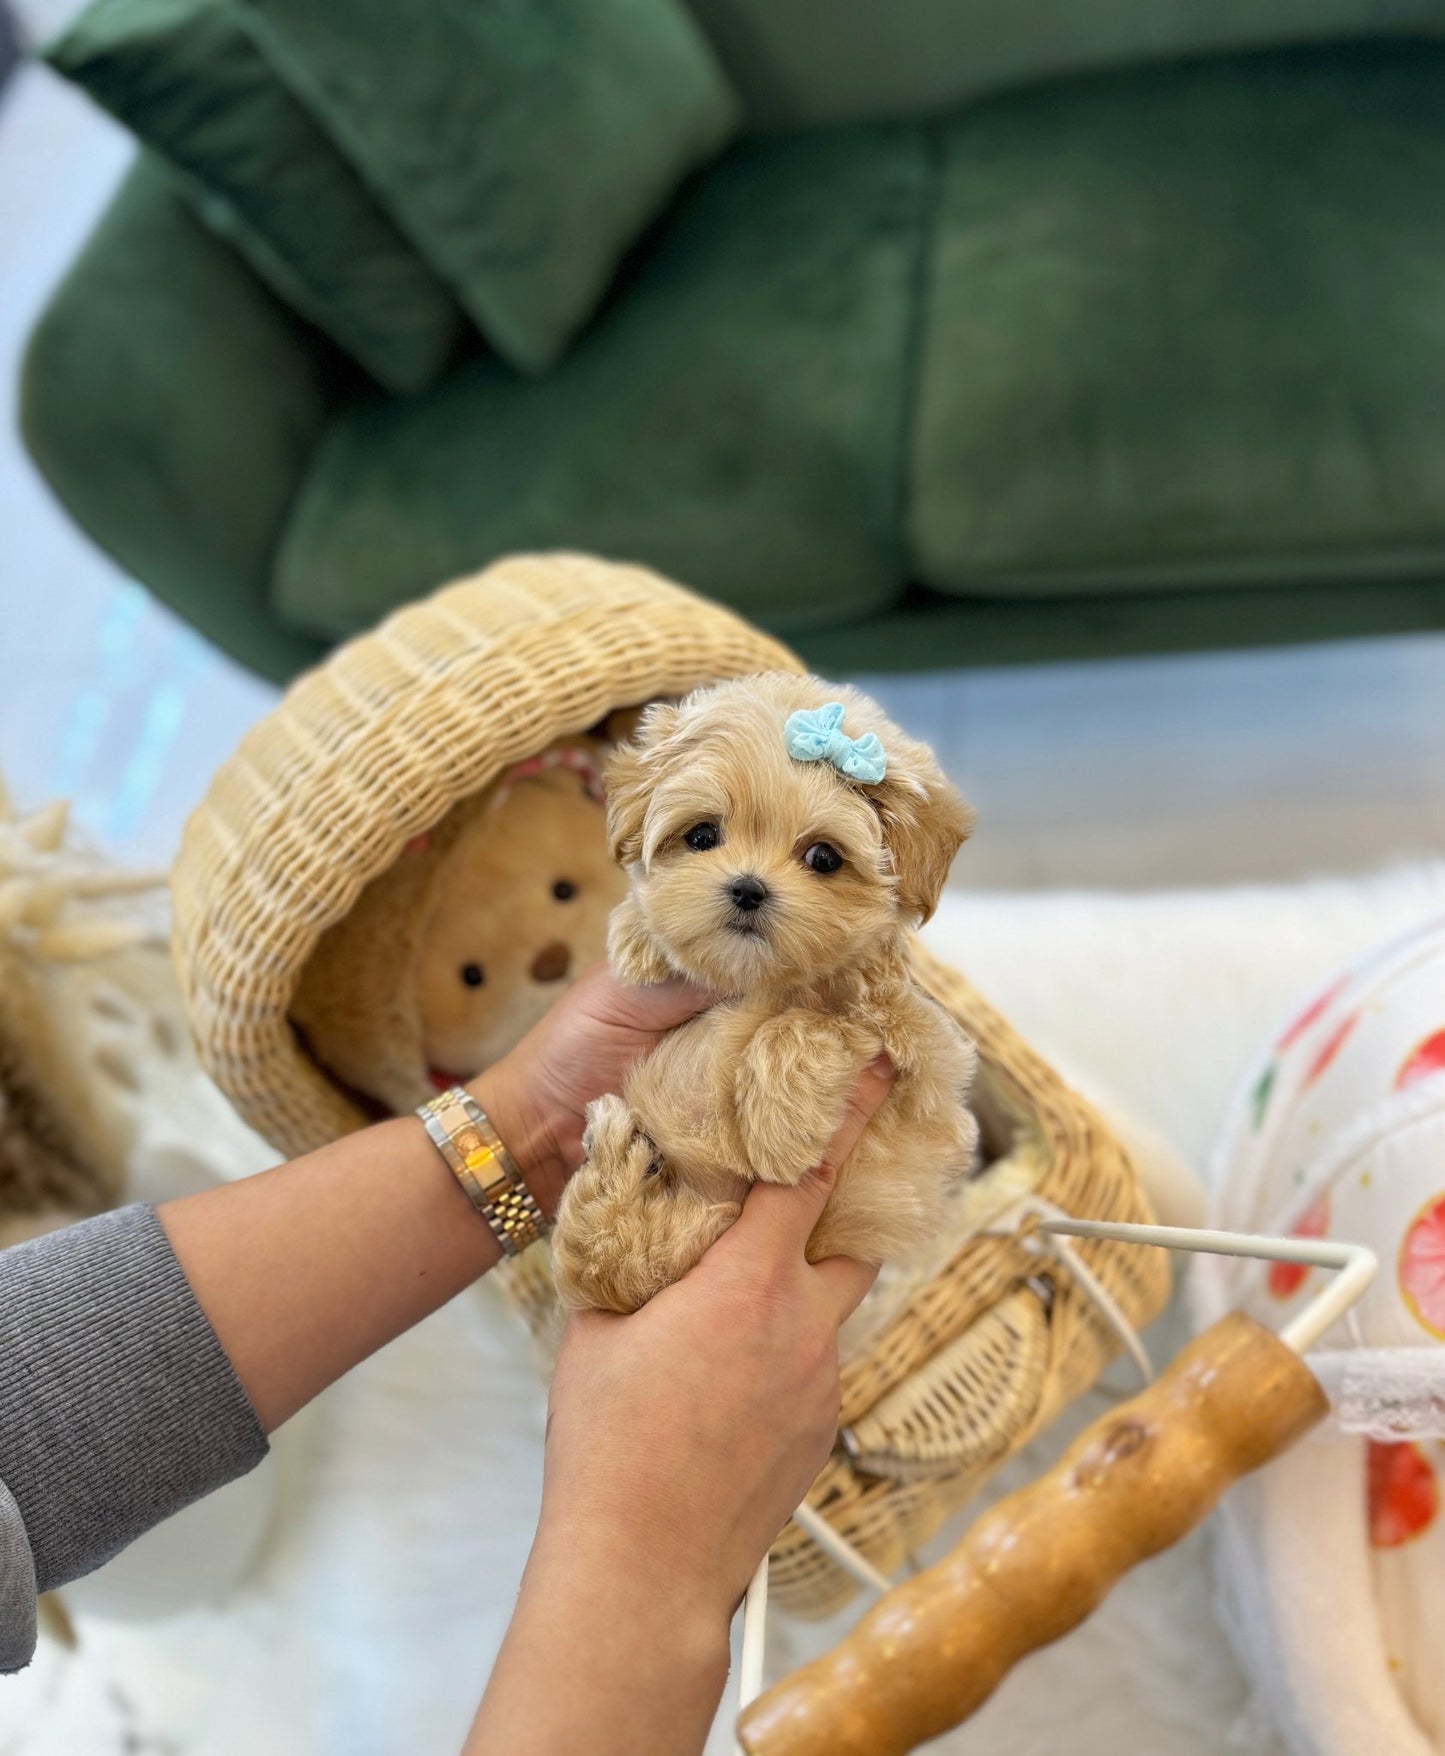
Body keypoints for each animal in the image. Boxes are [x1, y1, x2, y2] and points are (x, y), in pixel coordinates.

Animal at [547, 677, 976, 1313]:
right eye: (702, 835)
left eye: (824, 857)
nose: (747, 888)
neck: (764, 981)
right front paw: (639, 937)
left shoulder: (924, 1060)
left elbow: (814, 1023)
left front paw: (780, 1129)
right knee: (612, 1267)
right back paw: (615, 1155)